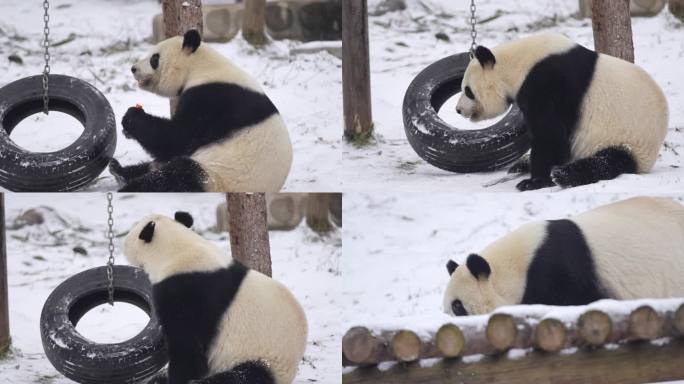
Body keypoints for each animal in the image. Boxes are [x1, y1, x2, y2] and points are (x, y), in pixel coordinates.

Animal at [111, 29, 292, 192]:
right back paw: (119, 170)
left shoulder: (212, 99)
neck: (201, 67)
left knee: (177, 175)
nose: (133, 68)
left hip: (218, 174)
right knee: (159, 165)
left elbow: (178, 137)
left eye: (154, 58)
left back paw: (129, 187)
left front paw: (131, 117)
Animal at [124, 212, 308, 382]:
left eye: (132, 233)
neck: (178, 249)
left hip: (261, 358)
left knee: (240, 376)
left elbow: (187, 346)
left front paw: (179, 377)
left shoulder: (187, 292)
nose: (122, 243)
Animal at [454, 32, 668, 191]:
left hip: (628, 140)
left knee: (607, 161)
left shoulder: (548, 83)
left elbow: (550, 134)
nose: (458, 109)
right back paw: (522, 164)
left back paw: (562, 175)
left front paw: (534, 181)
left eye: (468, 91)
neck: (519, 64)